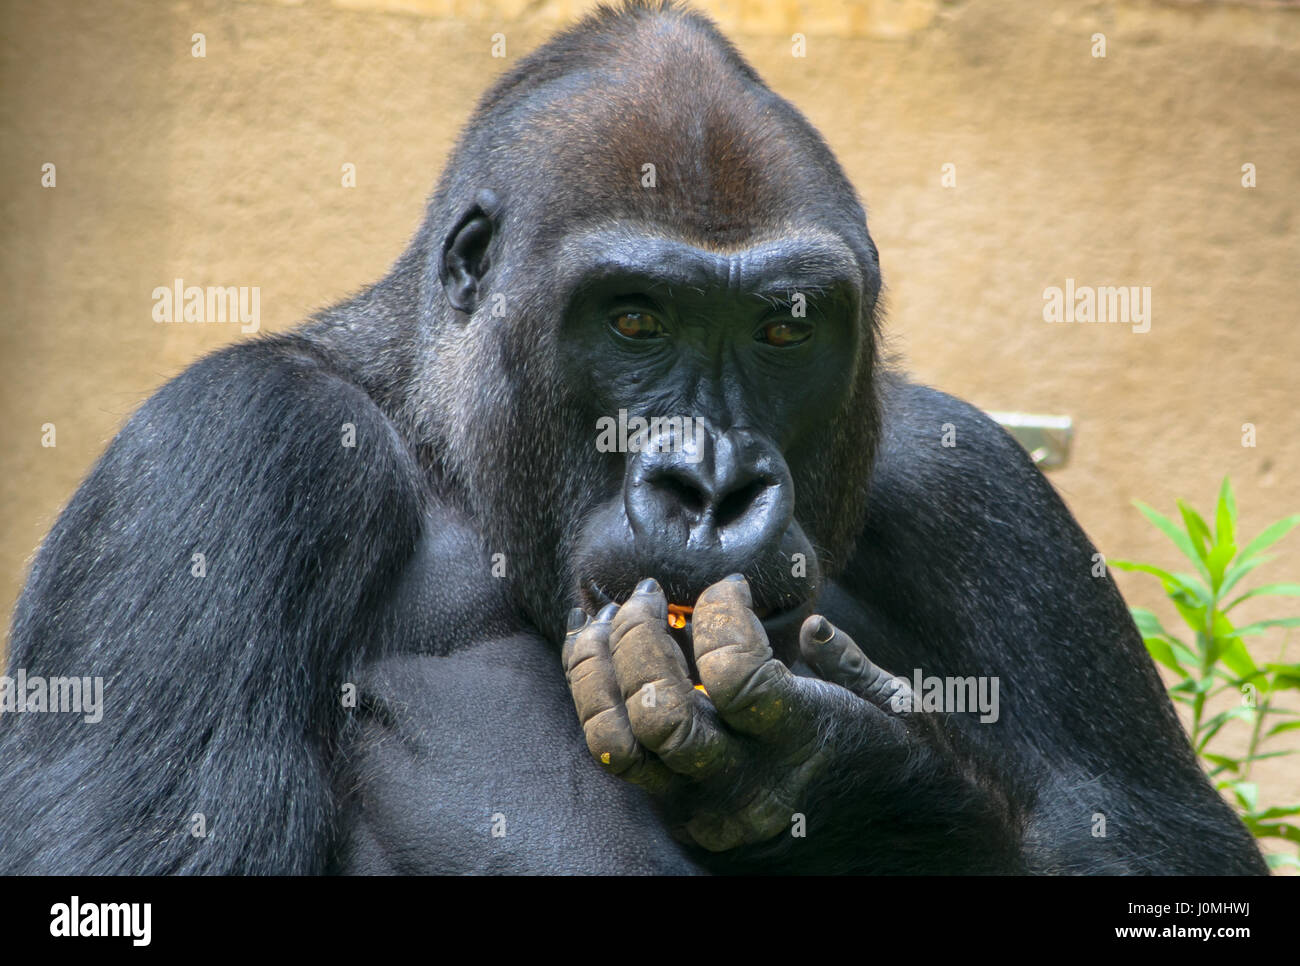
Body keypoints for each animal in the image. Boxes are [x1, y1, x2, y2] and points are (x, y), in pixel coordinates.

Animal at [0, 1, 1258, 878]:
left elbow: (1151, 838)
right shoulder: (231, 450)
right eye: (635, 320)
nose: (711, 485)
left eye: (784, 327)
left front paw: (865, 781)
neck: (450, 446)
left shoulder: (973, 479)